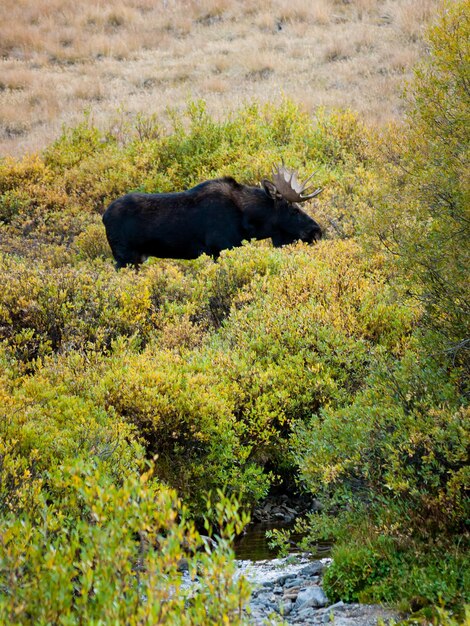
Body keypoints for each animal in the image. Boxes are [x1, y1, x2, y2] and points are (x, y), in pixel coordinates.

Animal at [103, 163, 324, 266]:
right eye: (294, 210)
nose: (317, 231)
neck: (248, 223)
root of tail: (103, 217)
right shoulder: (220, 248)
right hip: (124, 258)